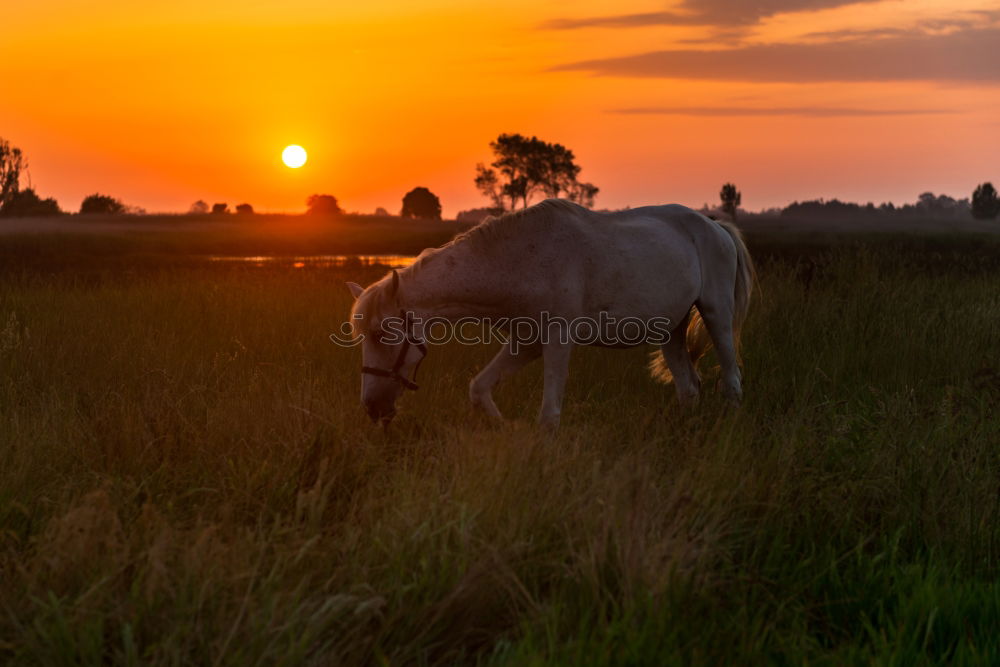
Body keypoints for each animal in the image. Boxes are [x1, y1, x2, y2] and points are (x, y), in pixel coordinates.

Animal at [348, 198, 752, 428]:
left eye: (382, 335)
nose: (372, 407)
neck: (516, 260)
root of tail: (715, 225)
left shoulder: (557, 341)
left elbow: (549, 417)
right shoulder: (527, 342)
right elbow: (479, 388)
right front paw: (504, 428)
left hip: (717, 314)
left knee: (732, 381)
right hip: (671, 331)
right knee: (688, 388)